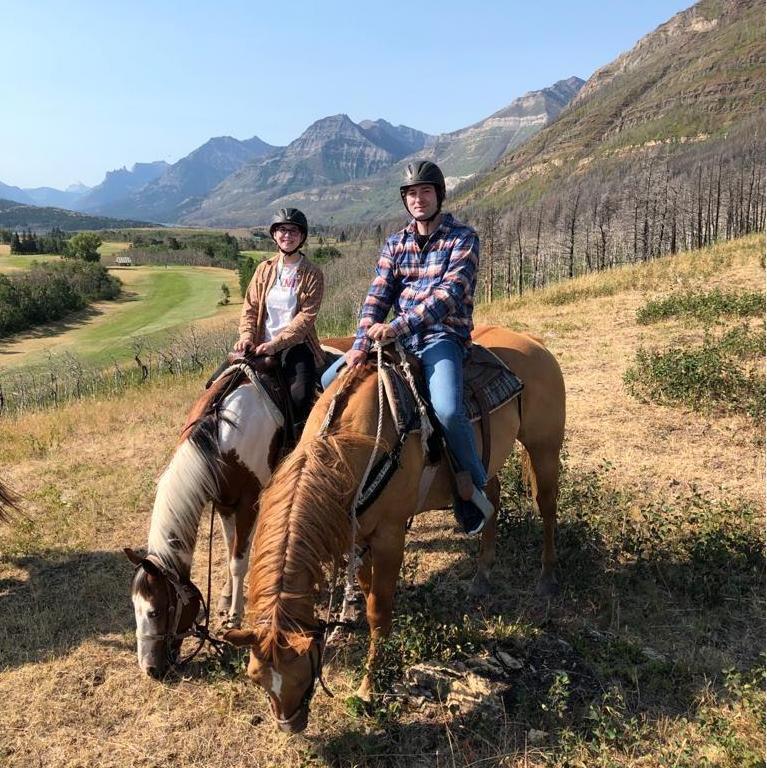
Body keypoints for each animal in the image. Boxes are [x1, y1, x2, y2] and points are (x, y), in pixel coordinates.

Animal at [127, 356, 290, 676]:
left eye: (154, 611)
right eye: (134, 609)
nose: (149, 670)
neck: (219, 437)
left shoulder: (248, 503)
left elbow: (239, 561)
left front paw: (234, 617)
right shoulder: (224, 502)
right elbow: (229, 549)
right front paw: (226, 598)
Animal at [225, 326, 568, 732]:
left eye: (299, 668)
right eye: (255, 676)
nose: (289, 726)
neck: (352, 448)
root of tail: (533, 342)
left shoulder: (389, 537)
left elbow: (378, 610)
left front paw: (368, 687)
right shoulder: (357, 538)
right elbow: (368, 591)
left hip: (544, 447)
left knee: (547, 507)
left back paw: (547, 577)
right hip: (489, 462)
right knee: (493, 498)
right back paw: (482, 574)